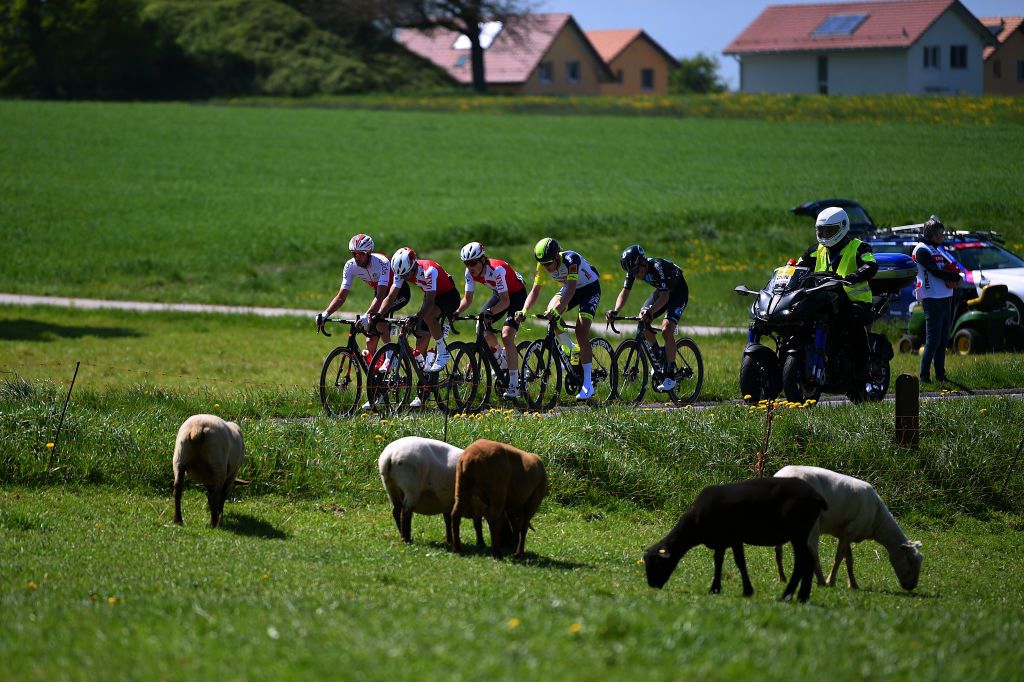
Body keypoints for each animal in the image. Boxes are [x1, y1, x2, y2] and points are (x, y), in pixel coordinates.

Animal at [643, 475, 827, 602]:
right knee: (808, 560)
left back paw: (786, 596)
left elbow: (737, 562)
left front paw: (745, 590)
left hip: (798, 532)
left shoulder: (730, 538)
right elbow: (721, 561)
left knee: (802, 561)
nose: (652, 585)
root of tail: (816, 496)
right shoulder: (725, 541)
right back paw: (802, 597)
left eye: (657, 562)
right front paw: (717, 589)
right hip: (802, 533)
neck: (694, 526)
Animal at [770, 462, 925, 589]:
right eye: (910, 559)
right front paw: (831, 581)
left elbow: (849, 560)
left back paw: (782, 578)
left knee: (779, 549)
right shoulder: (850, 530)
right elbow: (839, 557)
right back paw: (821, 581)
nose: (912, 586)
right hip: (811, 521)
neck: (878, 520)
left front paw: (853, 584)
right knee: (812, 548)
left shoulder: (846, 532)